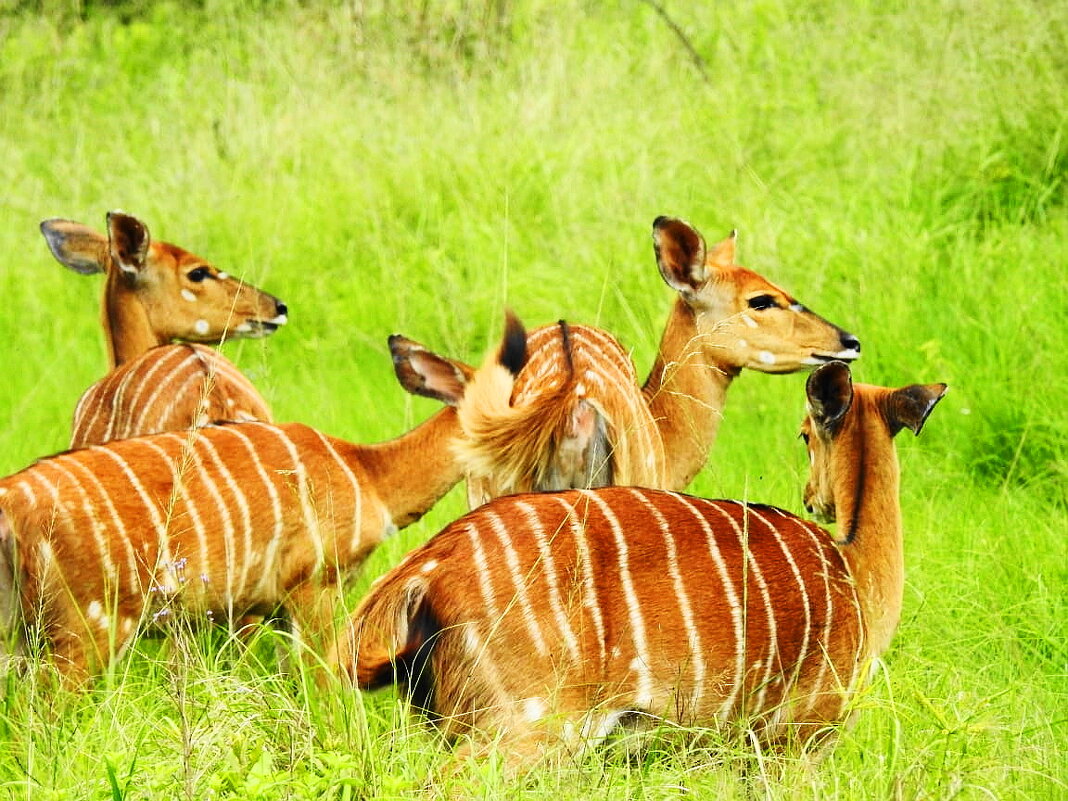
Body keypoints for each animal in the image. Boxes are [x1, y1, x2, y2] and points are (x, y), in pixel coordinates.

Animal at [337, 360, 948, 768]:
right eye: (804, 433)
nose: (812, 497)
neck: (855, 573)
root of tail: (425, 567)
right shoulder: (800, 735)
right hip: (524, 727)